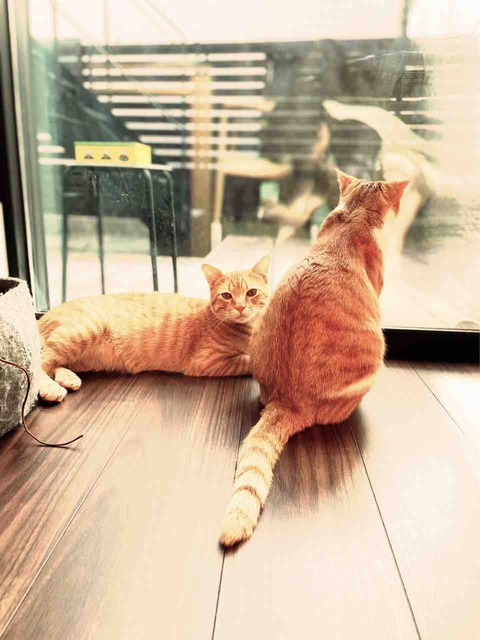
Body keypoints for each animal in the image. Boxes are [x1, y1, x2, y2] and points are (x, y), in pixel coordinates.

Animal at [38, 256, 270, 403]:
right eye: (227, 296)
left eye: (251, 292)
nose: (240, 307)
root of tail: (47, 314)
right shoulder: (206, 362)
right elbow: (249, 360)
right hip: (85, 330)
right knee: (41, 361)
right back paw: (50, 387)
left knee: (53, 363)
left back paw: (67, 377)